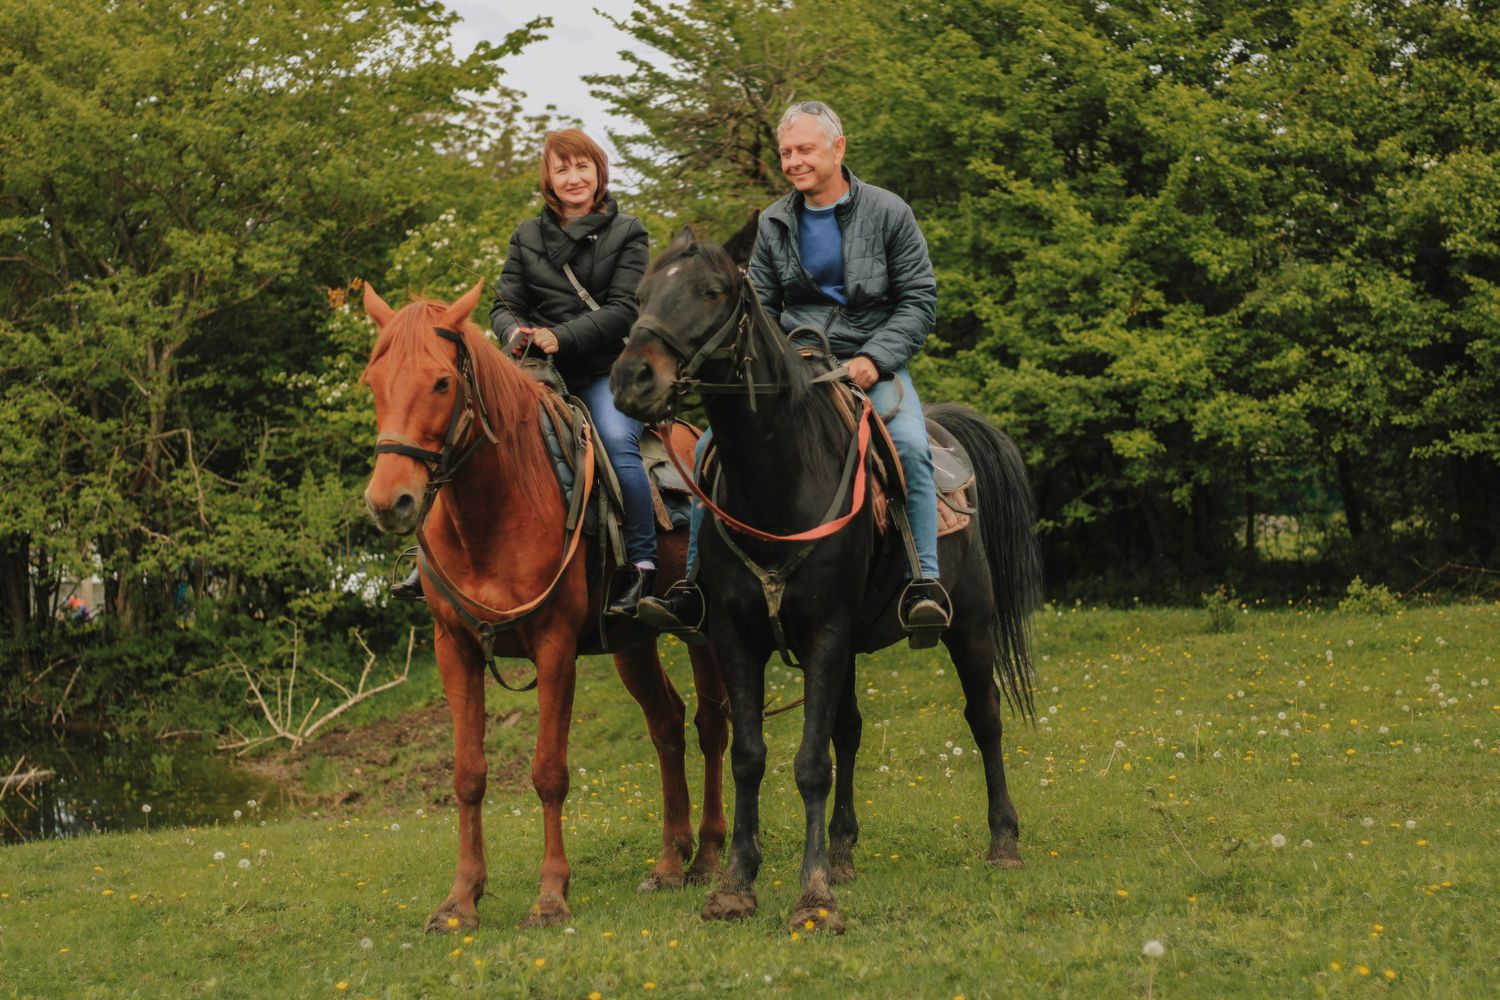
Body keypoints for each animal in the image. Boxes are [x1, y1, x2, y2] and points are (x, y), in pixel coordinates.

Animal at [357, 281, 720, 929]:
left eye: (441, 383)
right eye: (374, 381)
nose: (388, 501)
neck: (498, 507)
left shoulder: (554, 650)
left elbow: (549, 772)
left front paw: (551, 896)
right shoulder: (456, 649)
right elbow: (468, 774)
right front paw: (461, 900)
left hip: (705, 628)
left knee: (712, 725)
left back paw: (706, 855)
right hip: (632, 643)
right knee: (667, 724)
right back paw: (669, 862)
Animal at [603, 229, 1038, 929]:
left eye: (711, 290)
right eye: (639, 295)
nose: (631, 378)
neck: (779, 478)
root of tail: (946, 432)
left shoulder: (827, 631)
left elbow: (811, 762)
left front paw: (813, 895)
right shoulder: (739, 635)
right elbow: (754, 756)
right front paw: (738, 884)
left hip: (969, 623)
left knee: (985, 715)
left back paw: (1004, 843)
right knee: (850, 730)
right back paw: (842, 851)